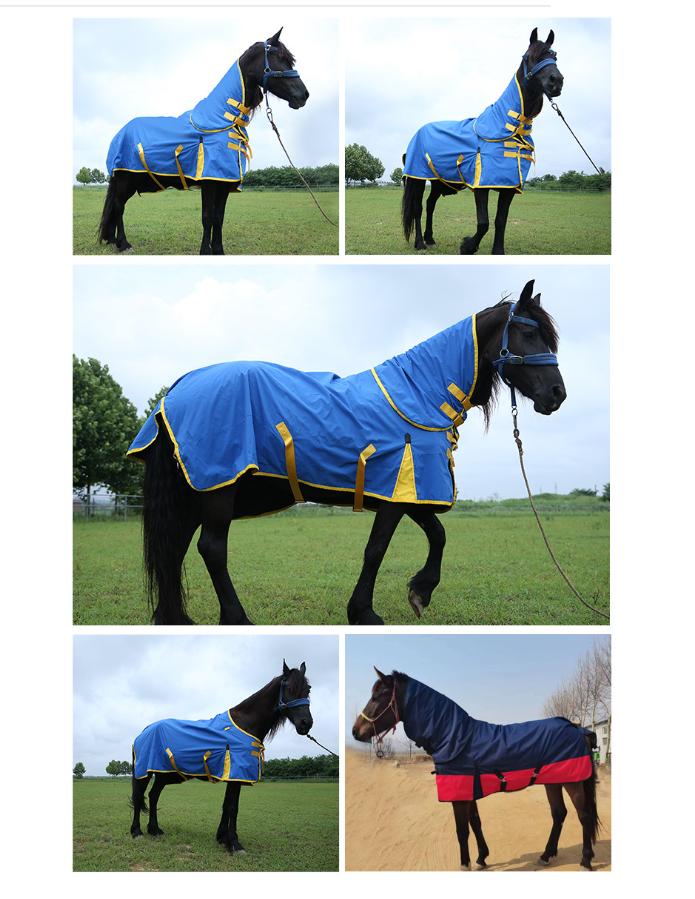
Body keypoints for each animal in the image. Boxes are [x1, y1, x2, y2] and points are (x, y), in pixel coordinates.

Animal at [98, 29, 309, 255]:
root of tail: (119, 133)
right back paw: (124, 244)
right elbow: (207, 217)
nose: (304, 95)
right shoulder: (209, 180)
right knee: (119, 207)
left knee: (116, 208)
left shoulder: (225, 181)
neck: (222, 120)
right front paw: (206, 251)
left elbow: (219, 217)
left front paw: (218, 249)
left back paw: (113, 240)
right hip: (126, 178)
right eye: (280, 58)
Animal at [126, 278, 566, 626]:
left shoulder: (408, 487)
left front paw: (420, 592)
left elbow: (438, 535)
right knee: (211, 549)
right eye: (529, 335)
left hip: (194, 490)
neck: (421, 394)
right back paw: (237, 619)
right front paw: (364, 612)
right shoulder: (398, 486)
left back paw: (174, 618)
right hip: (218, 484)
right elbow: (376, 550)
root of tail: (176, 391)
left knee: (176, 546)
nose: (557, 394)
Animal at [130, 660, 312, 854]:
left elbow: (226, 805)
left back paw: (154, 830)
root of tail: (145, 730)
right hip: (144, 772)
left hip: (163, 774)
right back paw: (137, 832)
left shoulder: (232, 775)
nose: (306, 723)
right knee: (139, 796)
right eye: (290, 688)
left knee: (153, 795)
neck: (245, 724)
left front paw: (222, 838)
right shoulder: (236, 775)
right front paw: (235, 843)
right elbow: (233, 807)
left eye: (308, 689)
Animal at [352, 669, 601, 871]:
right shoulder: (467, 791)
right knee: (559, 814)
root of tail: (578, 730)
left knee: (584, 815)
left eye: (377, 696)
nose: (355, 731)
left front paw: (466, 864)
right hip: (553, 781)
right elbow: (475, 822)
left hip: (573, 782)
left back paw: (585, 861)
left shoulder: (459, 795)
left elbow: (462, 830)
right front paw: (482, 858)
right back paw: (546, 856)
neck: (455, 738)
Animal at [401, 29, 563, 255]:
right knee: (418, 207)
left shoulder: (509, 187)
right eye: (530, 57)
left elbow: (501, 221)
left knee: (431, 204)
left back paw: (430, 238)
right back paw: (420, 243)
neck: (507, 128)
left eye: (554, 57)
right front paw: (467, 246)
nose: (556, 80)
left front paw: (497, 251)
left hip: (437, 180)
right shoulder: (481, 186)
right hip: (417, 177)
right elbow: (483, 223)